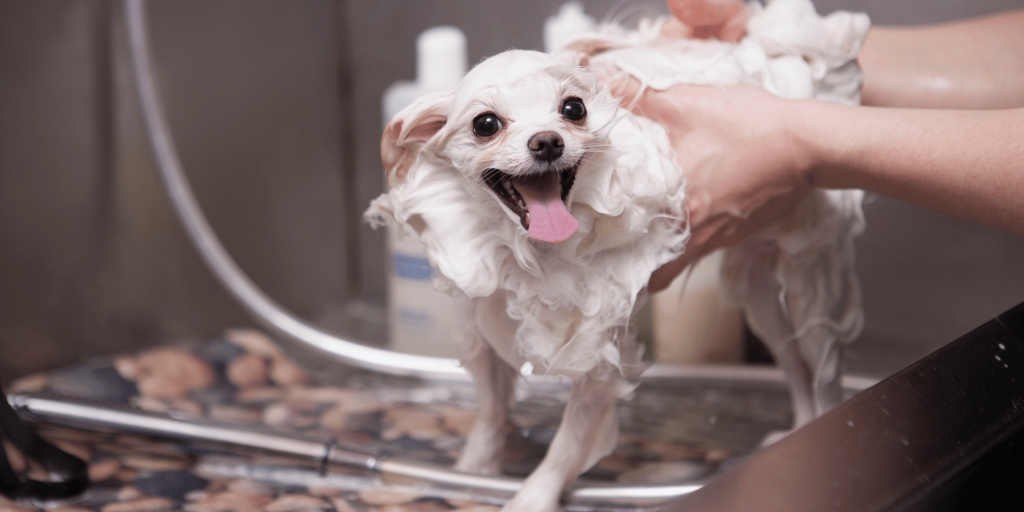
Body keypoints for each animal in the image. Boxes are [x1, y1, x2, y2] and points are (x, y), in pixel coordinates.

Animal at [364, 0, 868, 507]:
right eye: (485, 124)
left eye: (574, 108)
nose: (547, 141)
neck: (534, 253)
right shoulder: (481, 319)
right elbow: (489, 408)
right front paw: (475, 466)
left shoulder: (597, 351)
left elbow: (565, 449)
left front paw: (531, 497)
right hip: (762, 302)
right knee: (794, 365)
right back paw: (799, 426)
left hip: (809, 286)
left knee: (822, 372)